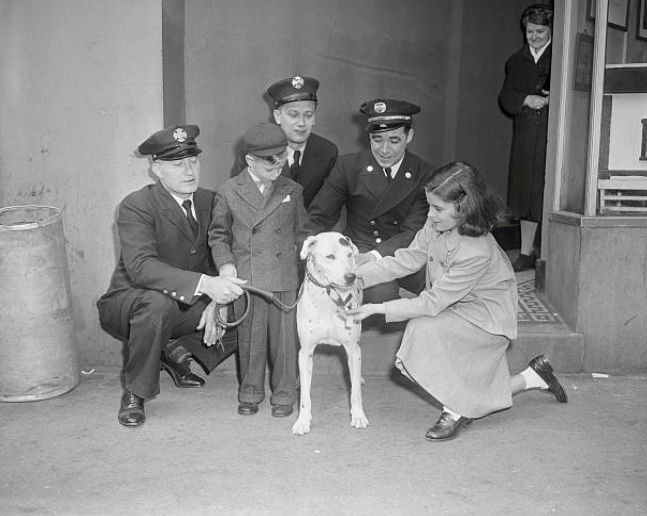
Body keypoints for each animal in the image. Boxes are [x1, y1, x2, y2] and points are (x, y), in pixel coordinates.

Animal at [292, 231, 368, 436]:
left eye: (349, 255)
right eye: (330, 257)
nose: (350, 276)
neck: (327, 299)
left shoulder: (352, 349)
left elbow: (355, 391)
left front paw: (358, 416)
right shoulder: (305, 351)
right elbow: (305, 396)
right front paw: (302, 421)